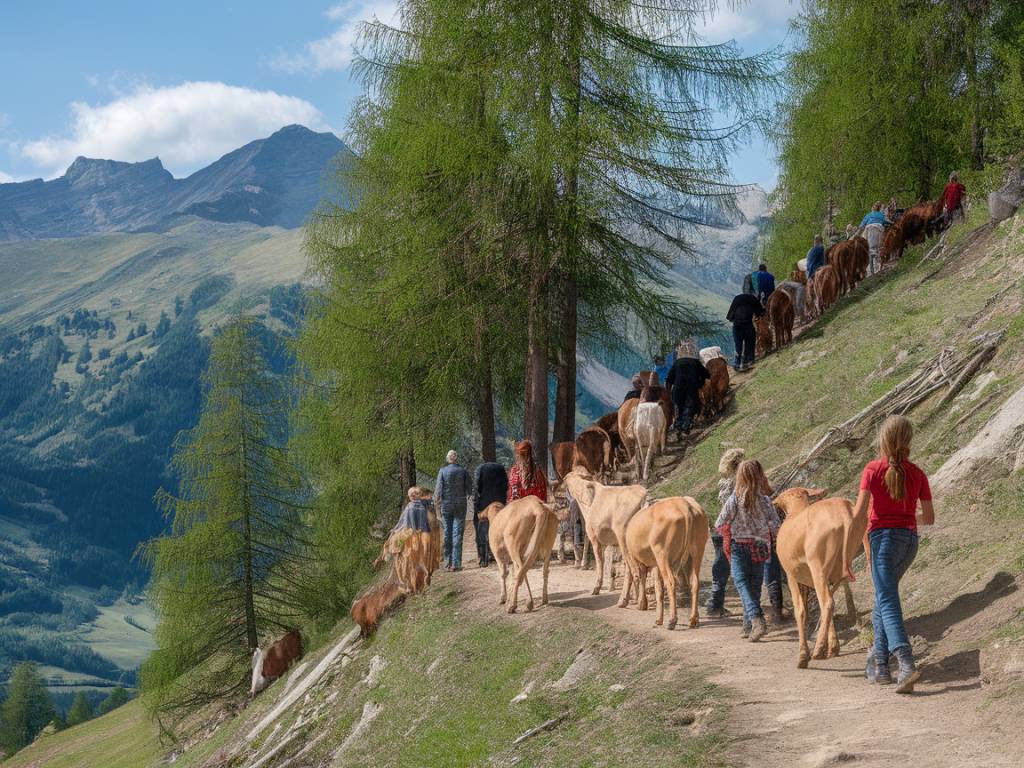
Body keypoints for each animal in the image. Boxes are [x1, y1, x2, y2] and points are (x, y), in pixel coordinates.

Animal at [561, 473, 647, 606]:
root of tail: (642, 497)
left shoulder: (595, 539)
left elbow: (599, 562)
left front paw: (596, 588)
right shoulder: (607, 542)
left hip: (623, 539)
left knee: (636, 570)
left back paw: (636, 601)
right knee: (636, 569)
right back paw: (630, 600)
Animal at [618, 499, 708, 630]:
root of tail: (684, 504)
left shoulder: (643, 562)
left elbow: (644, 580)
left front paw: (643, 605)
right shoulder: (655, 565)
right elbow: (658, 588)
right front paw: (658, 617)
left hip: (662, 554)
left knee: (670, 582)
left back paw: (672, 620)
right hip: (696, 553)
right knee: (695, 582)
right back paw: (693, 619)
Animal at [778, 489, 868, 671]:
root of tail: (842, 511)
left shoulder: (791, 575)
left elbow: (800, 611)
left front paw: (803, 655)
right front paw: (833, 646)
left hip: (817, 567)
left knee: (827, 602)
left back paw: (818, 649)